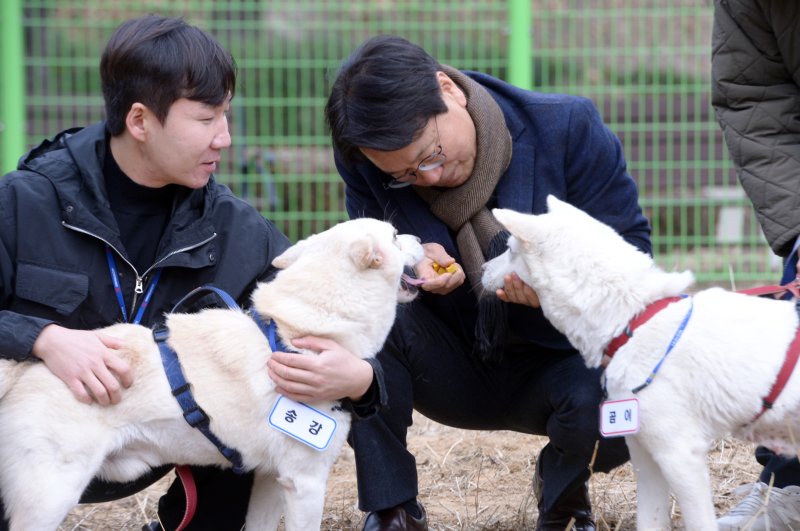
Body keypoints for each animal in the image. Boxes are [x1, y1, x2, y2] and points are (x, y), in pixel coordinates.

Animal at [0, 217, 424, 531]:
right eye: (393, 236)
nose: (420, 237)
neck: (293, 333)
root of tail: (27, 369)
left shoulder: (271, 479)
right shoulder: (305, 483)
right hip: (51, 496)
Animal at [482, 196, 800, 531]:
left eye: (511, 250)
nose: (481, 267)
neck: (633, 319)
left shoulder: (681, 457)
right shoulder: (646, 460)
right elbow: (650, 520)